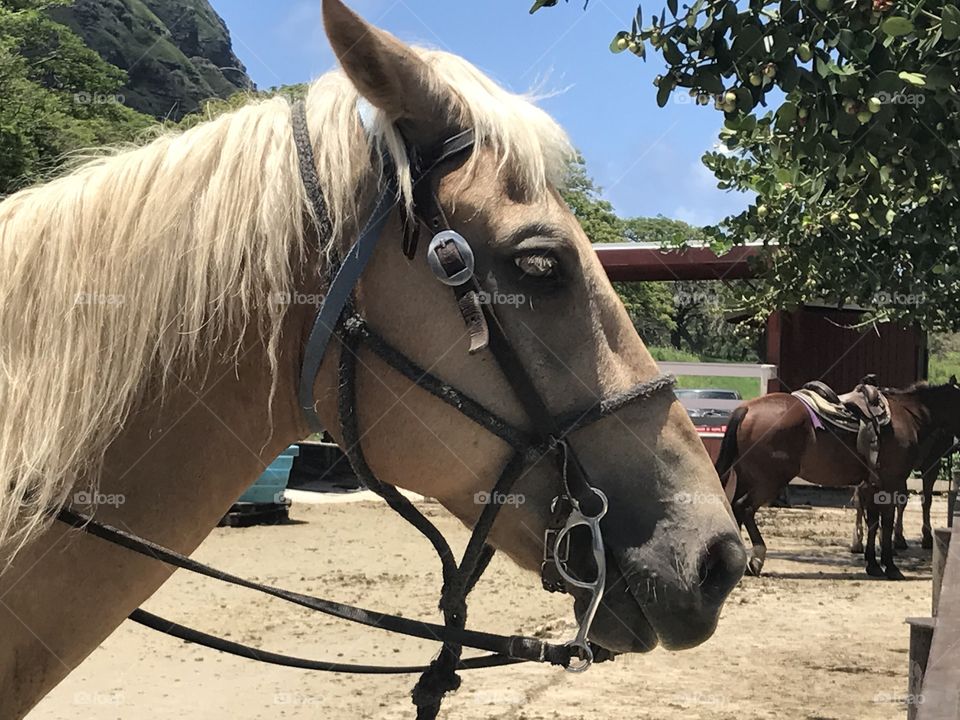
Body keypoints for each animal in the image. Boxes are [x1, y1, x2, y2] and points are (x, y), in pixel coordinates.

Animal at [715, 379, 960, 580]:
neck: (907, 415)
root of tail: (747, 408)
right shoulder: (892, 482)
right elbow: (887, 522)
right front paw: (890, 567)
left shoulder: (874, 485)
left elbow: (874, 522)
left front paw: (873, 565)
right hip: (769, 481)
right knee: (745, 508)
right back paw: (756, 559)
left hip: (746, 477)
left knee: (734, 508)